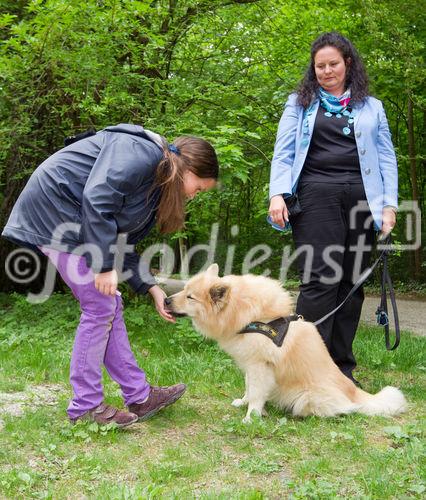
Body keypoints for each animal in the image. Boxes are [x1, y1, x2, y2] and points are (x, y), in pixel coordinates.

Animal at [164, 266, 406, 422]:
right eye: (183, 290)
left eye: (190, 297)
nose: (165, 300)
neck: (251, 316)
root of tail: (354, 392)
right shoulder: (251, 366)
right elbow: (249, 388)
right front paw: (244, 403)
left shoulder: (260, 366)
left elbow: (256, 393)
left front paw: (251, 417)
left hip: (307, 396)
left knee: (343, 409)